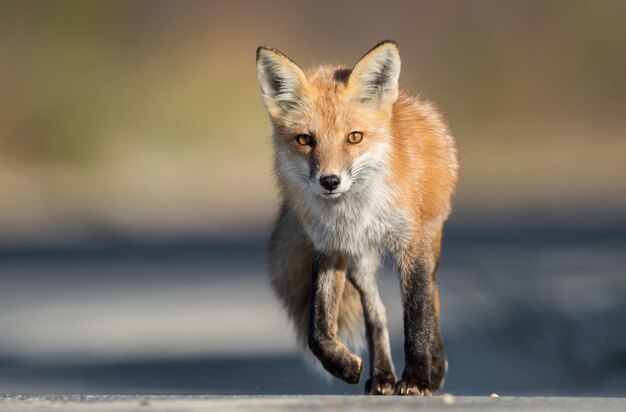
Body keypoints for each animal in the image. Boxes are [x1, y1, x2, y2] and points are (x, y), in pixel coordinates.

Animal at [255, 41, 458, 396]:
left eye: (354, 137)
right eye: (305, 140)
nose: (330, 181)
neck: (358, 213)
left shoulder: (411, 245)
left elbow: (416, 316)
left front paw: (418, 378)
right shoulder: (330, 248)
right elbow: (318, 330)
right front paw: (344, 365)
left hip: (430, 240)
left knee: (432, 296)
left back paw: (434, 366)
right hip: (360, 264)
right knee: (376, 314)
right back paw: (383, 376)